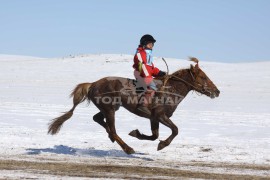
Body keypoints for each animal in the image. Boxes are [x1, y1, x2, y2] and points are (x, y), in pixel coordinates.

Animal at [48, 58, 219, 155]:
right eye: (203, 77)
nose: (217, 91)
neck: (171, 90)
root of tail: (93, 84)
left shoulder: (154, 118)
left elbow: (154, 135)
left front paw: (136, 133)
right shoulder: (160, 116)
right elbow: (175, 130)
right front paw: (162, 145)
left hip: (109, 108)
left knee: (97, 119)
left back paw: (111, 137)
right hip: (110, 109)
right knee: (113, 129)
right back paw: (127, 148)